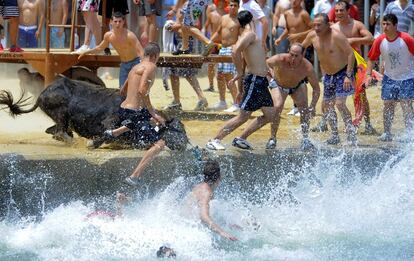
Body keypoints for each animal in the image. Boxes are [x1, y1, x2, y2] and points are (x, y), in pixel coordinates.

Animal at [0, 76, 188, 150]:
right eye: (176, 129)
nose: (186, 144)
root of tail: (42, 94)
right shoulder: (109, 122)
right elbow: (107, 134)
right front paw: (92, 144)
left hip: (61, 119)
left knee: (54, 131)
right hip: (61, 114)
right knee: (60, 131)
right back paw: (73, 142)